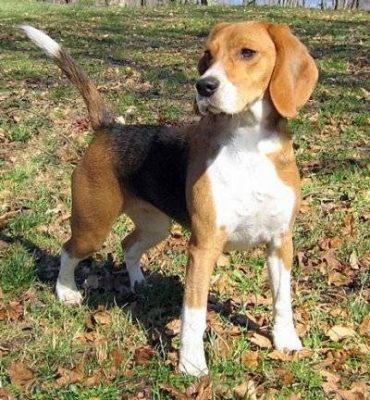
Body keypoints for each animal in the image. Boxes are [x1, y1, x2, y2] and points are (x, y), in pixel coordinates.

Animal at [22, 21, 318, 376]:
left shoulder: (280, 242)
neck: (250, 145)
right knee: (68, 251)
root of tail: (109, 128)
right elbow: (194, 314)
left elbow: (282, 300)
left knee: (128, 245)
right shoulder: (203, 248)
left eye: (247, 52)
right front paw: (191, 365)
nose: (203, 87)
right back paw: (66, 292)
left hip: (155, 227)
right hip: (92, 226)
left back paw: (139, 283)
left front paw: (286, 341)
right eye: (208, 55)